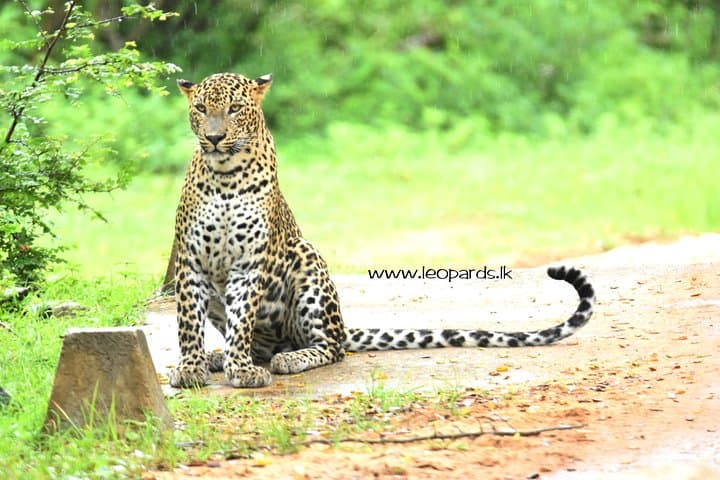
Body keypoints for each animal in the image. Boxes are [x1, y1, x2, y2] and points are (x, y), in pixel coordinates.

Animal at [167, 72, 596, 389]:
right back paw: (219, 357)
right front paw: (191, 368)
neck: (226, 176)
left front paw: (240, 370)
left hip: (307, 257)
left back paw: (286, 358)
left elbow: (242, 320)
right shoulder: (190, 261)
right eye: (201, 109)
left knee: (330, 347)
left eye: (235, 109)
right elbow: (188, 321)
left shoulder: (249, 263)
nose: (214, 137)